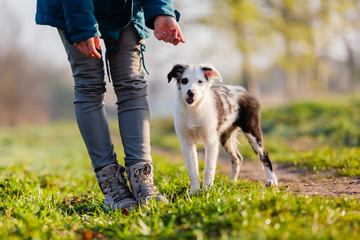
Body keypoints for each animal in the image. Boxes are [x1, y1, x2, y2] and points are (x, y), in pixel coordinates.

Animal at [167, 63, 278, 193]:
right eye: (184, 80)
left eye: (200, 81)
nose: (191, 92)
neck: (194, 110)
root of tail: (245, 91)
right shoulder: (187, 143)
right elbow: (192, 170)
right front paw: (194, 191)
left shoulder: (211, 141)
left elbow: (208, 169)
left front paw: (207, 190)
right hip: (225, 137)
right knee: (237, 158)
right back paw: (231, 183)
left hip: (252, 131)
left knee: (264, 155)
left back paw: (271, 181)